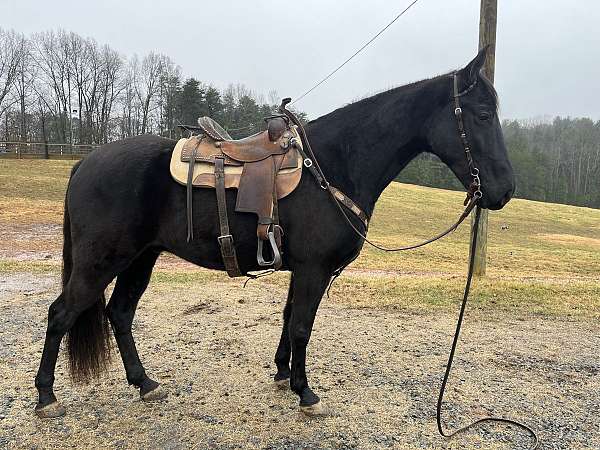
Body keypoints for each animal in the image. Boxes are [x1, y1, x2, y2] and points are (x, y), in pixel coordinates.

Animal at [34, 49, 510, 418]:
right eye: (483, 114)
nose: (504, 190)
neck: (333, 166)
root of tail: (85, 162)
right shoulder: (314, 269)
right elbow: (302, 326)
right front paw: (306, 392)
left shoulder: (301, 269)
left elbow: (288, 319)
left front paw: (283, 374)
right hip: (101, 261)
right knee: (61, 314)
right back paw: (46, 397)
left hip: (140, 258)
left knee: (120, 314)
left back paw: (145, 383)